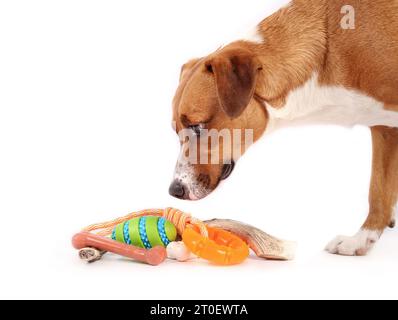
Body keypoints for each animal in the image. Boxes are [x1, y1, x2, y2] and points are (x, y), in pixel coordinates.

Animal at [168, 0, 398, 256]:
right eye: (175, 130)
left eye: (197, 126)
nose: (174, 190)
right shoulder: (384, 126)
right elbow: (378, 189)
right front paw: (363, 239)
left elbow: (377, 187)